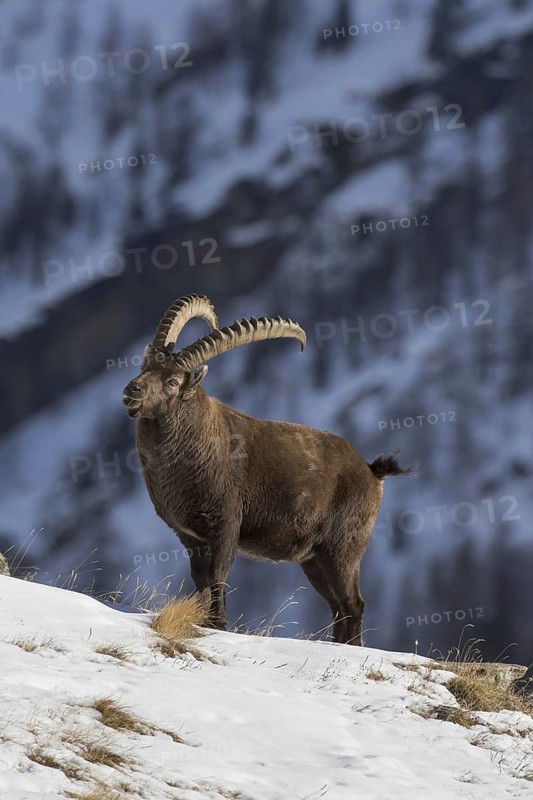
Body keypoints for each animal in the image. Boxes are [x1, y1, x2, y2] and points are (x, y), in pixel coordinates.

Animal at [123, 294, 414, 645]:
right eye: (145, 366)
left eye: (172, 381)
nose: (132, 391)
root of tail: (372, 472)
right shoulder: (190, 536)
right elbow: (200, 578)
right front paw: (205, 620)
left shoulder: (227, 524)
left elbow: (218, 574)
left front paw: (219, 625)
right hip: (314, 559)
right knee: (338, 607)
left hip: (344, 548)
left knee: (354, 603)